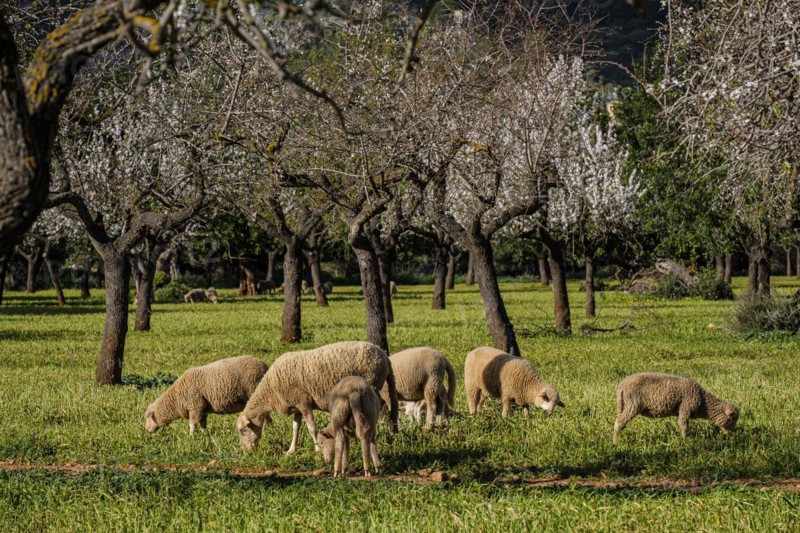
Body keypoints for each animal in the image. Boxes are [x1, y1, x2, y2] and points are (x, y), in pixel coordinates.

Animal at [236, 341, 399, 455]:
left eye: (242, 431)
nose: (246, 451)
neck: (270, 391)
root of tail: (383, 354)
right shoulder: (297, 406)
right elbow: (295, 428)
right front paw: (291, 450)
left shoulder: (304, 402)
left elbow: (311, 428)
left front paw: (317, 449)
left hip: (372, 384)